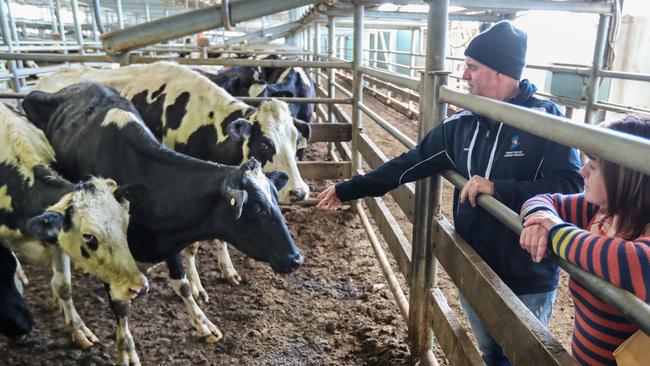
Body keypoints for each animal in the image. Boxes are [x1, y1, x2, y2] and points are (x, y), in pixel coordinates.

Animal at [0, 103, 146, 348]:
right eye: (89, 236)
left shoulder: (57, 241)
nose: (137, 287)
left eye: (125, 225)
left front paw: (78, 330)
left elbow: (64, 287)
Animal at [22, 82, 302, 366]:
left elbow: (183, 285)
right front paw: (126, 352)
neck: (146, 181)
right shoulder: (107, 253)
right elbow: (121, 304)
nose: (295, 258)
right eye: (256, 208)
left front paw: (203, 324)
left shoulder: (170, 239)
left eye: (275, 201)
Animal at [37, 62, 312, 294]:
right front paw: (197, 285)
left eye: (297, 142)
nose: (298, 191)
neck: (202, 122)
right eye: (265, 144)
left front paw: (228, 269)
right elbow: (192, 246)